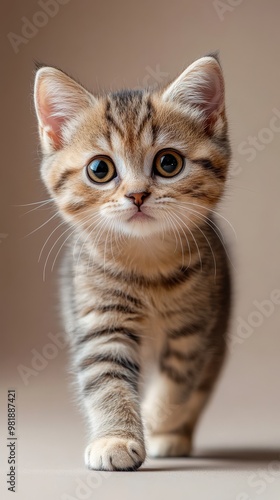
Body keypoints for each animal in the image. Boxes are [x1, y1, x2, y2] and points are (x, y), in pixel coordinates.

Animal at [34, 56, 232, 470]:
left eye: (169, 163)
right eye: (100, 169)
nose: (137, 194)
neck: (147, 265)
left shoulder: (194, 329)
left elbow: (178, 384)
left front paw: (156, 420)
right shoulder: (98, 319)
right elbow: (107, 379)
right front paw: (115, 438)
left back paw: (173, 436)